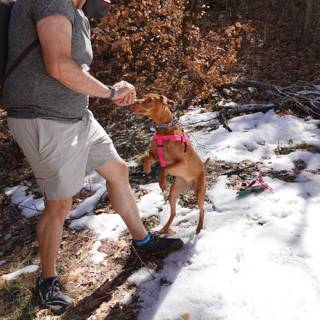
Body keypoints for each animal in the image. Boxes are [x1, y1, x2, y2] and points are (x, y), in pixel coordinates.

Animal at [131, 92, 208, 232]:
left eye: (149, 100)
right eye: (143, 96)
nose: (133, 102)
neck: (164, 129)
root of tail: (189, 185)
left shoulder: (182, 162)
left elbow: (163, 169)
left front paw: (162, 183)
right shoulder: (156, 155)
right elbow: (147, 156)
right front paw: (146, 168)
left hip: (199, 192)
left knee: (202, 210)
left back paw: (199, 228)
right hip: (173, 193)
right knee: (173, 213)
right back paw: (165, 228)